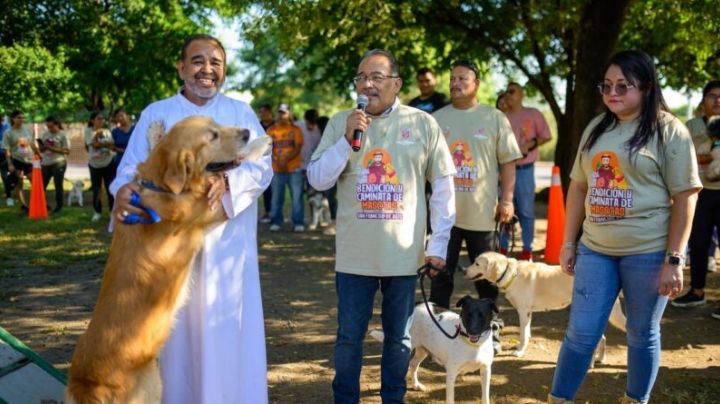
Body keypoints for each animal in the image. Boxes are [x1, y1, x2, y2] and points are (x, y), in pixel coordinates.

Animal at [466, 251, 624, 358]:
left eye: (477, 263)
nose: (464, 271)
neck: (511, 273)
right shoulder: (528, 312)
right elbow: (527, 333)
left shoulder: (523, 311)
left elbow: (523, 334)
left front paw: (520, 351)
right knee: (602, 339)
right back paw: (600, 359)